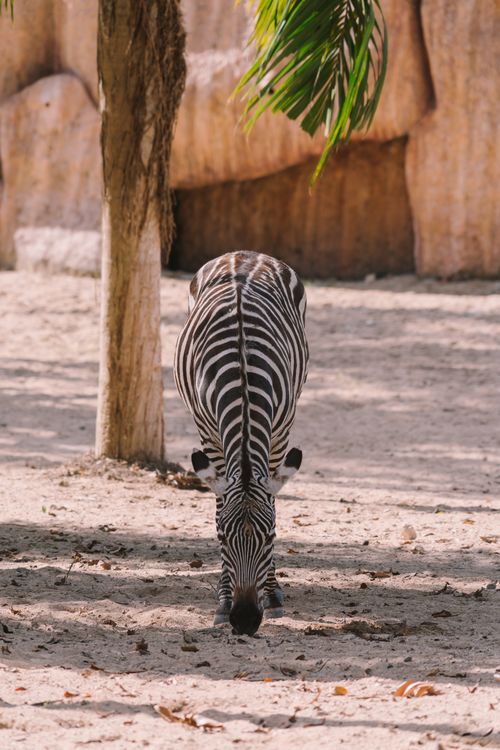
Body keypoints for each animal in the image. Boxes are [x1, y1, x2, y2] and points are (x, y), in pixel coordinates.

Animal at [174, 251, 309, 635]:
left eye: (271, 537)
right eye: (221, 538)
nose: (245, 621)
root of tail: (244, 255)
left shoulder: (281, 427)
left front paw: (272, 593)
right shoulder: (208, 430)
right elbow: (219, 503)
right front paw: (222, 600)